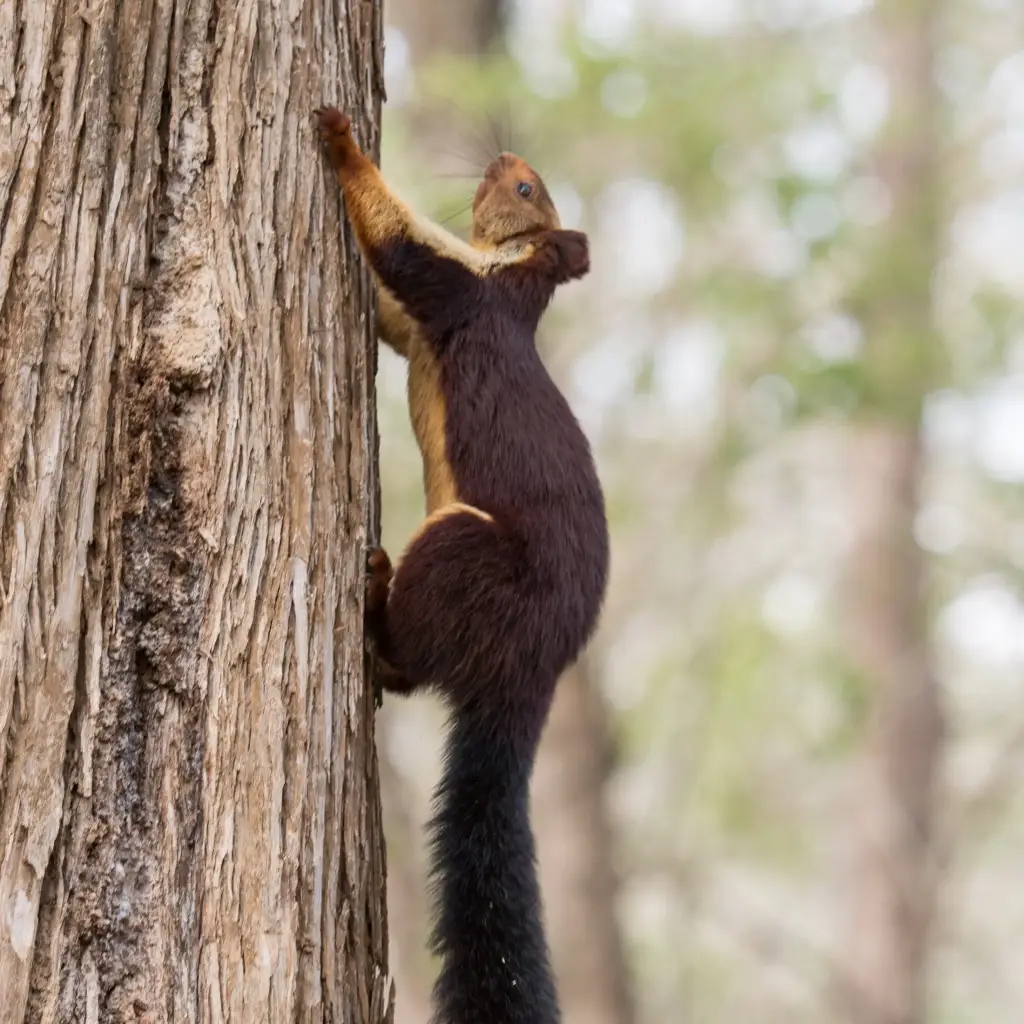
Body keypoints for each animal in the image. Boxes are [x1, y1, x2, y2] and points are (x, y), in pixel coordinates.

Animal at [317, 106, 609, 1024]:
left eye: (524, 187)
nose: (504, 152)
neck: (510, 276)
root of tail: (529, 671)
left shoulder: (457, 288)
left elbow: (398, 243)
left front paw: (341, 139)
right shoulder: (421, 321)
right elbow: (387, 309)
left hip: (463, 551)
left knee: (412, 653)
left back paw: (377, 593)